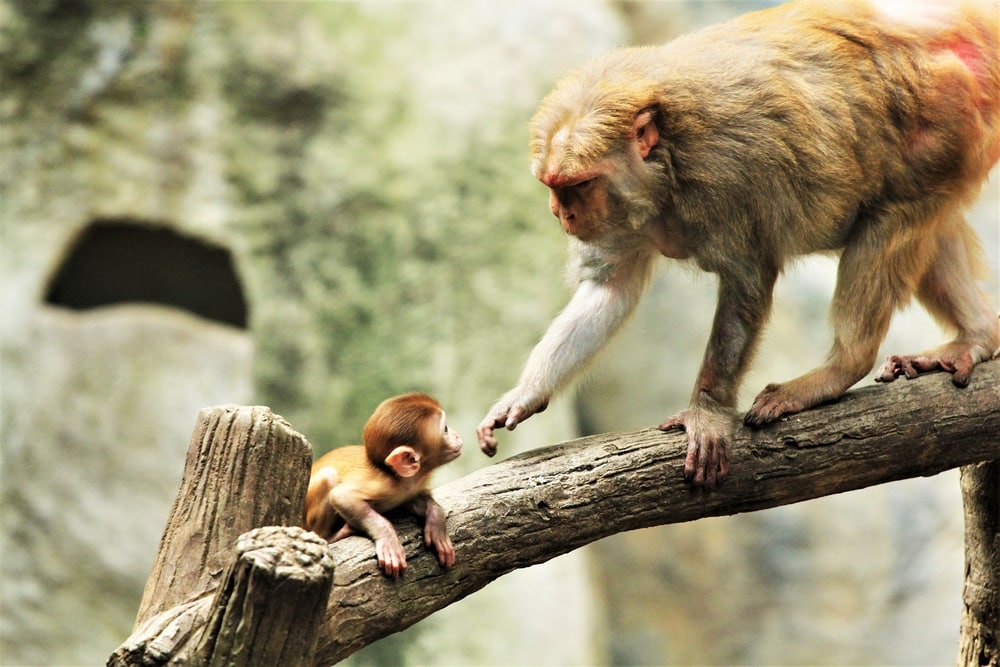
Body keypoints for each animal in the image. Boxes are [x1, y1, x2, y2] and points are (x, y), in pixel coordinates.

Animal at [304, 392, 462, 577]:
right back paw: (331, 537)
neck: (398, 476)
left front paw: (436, 520)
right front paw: (387, 538)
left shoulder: (408, 490)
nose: (457, 435)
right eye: (445, 429)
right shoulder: (385, 485)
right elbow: (340, 496)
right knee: (328, 476)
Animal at [477, 0, 1000, 487]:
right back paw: (978, 337)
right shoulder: (620, 219)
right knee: (932, 222)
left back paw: (840, 368)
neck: (666, 163)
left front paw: (708, 412)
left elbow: (746, 282)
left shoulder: (728, 172)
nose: (560, 214)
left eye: (579, 185)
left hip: (944, 118)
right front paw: (525, 393)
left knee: (892, 218)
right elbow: (610, 289)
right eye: (553, 185)